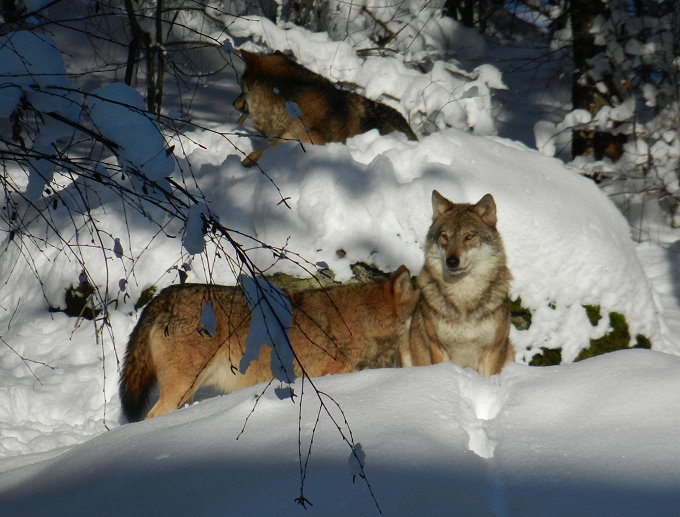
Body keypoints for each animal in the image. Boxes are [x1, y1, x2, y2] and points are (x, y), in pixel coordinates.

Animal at [402, 191, 512, 376]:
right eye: (444, 236)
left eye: (469, 236)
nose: (452, 261)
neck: (463, 296)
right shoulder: (438, 346)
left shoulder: (492, 350)